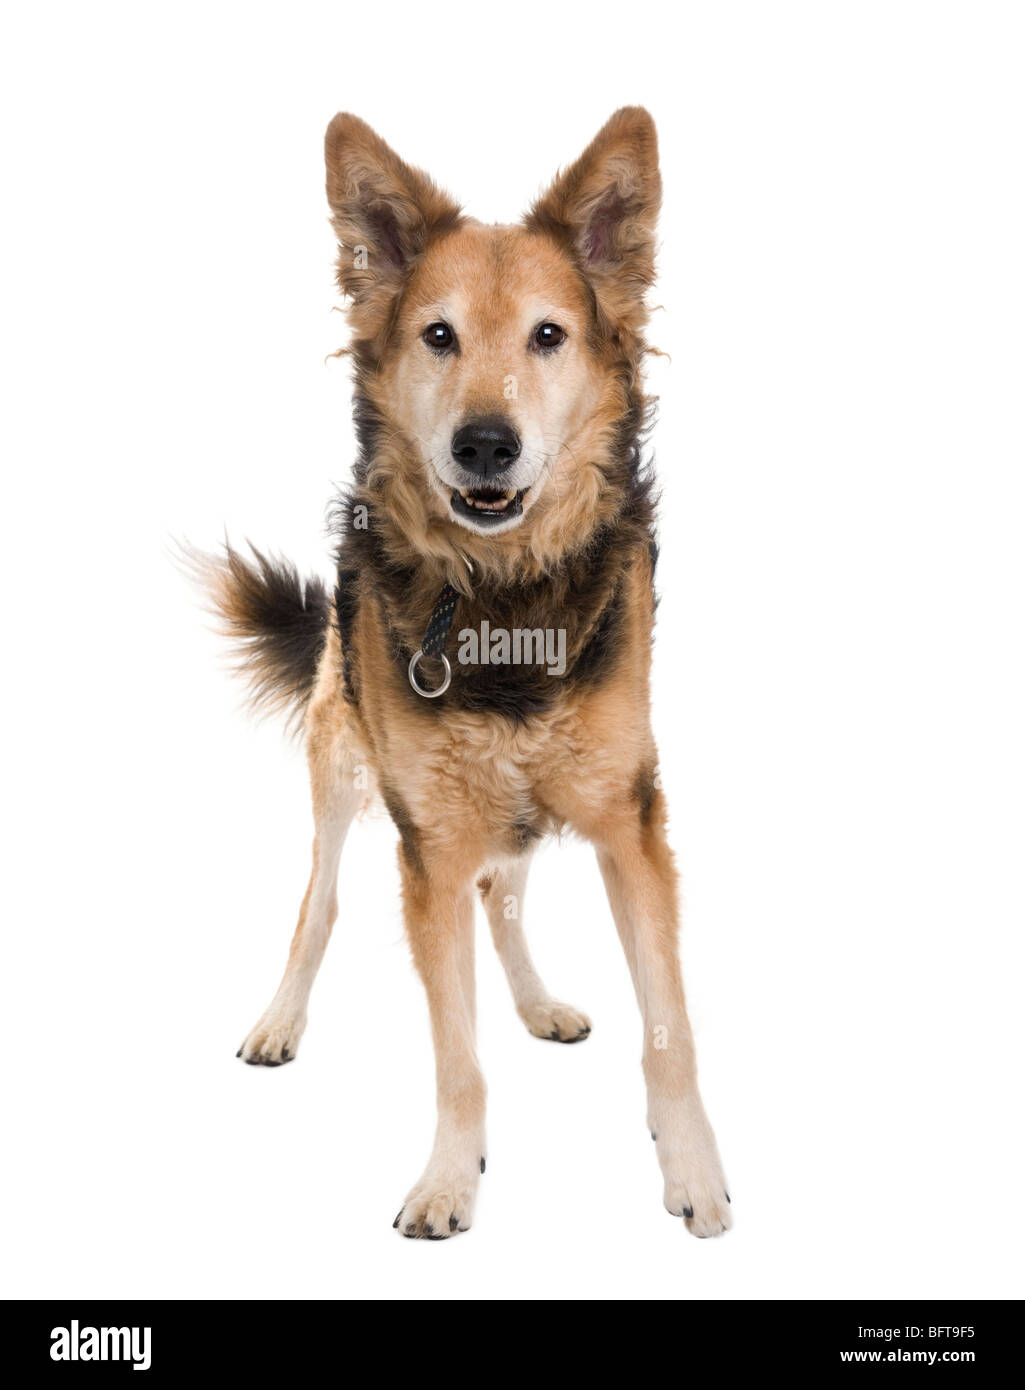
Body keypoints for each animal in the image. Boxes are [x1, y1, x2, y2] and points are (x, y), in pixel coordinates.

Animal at [191, 105, 734, 1239]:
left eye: (547, 335)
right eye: (436, 335)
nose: (486, 445)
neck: (502, 599)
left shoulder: (629, 816)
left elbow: (667, 1025)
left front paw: (695, 1176)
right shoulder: (428, 843)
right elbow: (456, 1056)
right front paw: (449, 1178)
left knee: (507, 893)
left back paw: (536, 1003)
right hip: (343, 765)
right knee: (319, 904)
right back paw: (280, 1018)